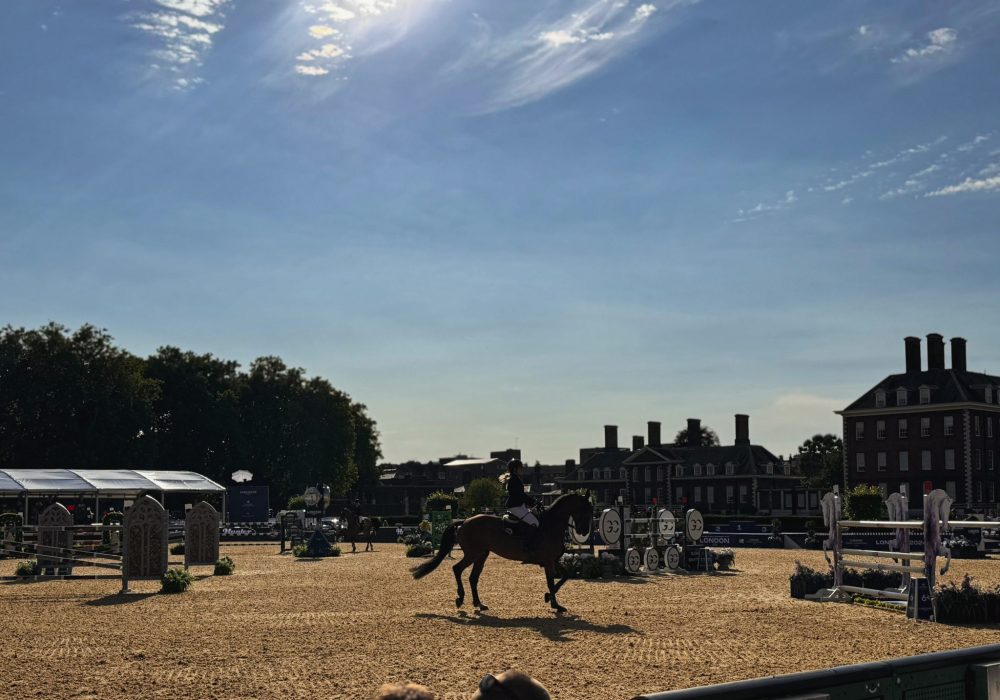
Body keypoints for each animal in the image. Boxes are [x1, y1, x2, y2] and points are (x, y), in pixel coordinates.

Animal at [414, 492, 592, 612]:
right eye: (585, 510)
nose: (583, 531)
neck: (551, 525)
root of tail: (465, 521)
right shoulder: (548, 561)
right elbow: (551, 581)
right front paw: (555, 604)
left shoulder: (553, 560)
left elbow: (565, 576)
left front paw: (549, 598)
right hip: (473, 554)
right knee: (457, 569)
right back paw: (460, 598)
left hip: (482, 555)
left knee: (473, 578)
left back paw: (479, 603)